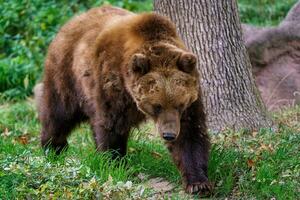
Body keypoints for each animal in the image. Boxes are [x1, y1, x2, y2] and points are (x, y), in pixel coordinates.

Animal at [36, 5, 211, 194]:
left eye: (179, 105)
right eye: (157, 105)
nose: (169, 135)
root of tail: (69, 23)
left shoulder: (191, 97)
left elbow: (190, 132)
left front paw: (198, 183)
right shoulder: (112, 83)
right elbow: (111, 125)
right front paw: (115, 164)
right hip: (67, 74)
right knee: (59, 112)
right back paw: (53, 147)